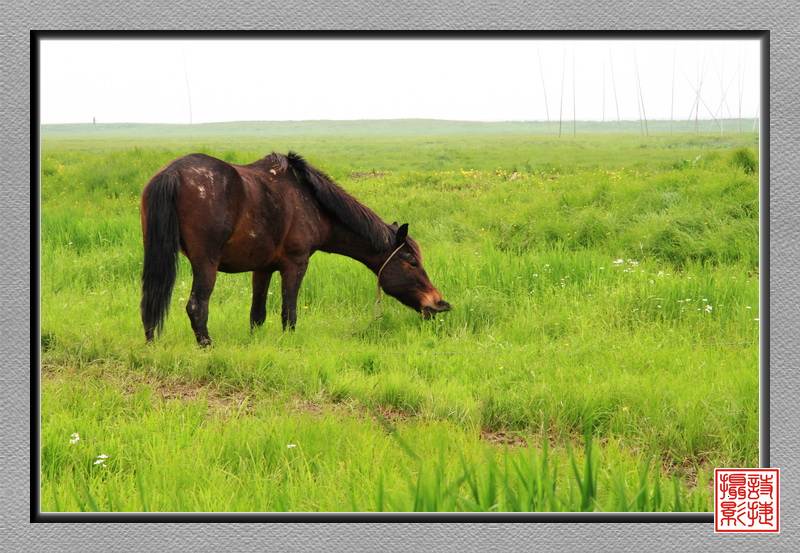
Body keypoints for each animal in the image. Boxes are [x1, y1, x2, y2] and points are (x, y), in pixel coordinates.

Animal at [140, 151, 446, 344]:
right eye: (411, 261)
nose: (439, 303)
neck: (312, 201)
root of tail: (172, 173)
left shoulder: (262, 268)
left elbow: (257, 315)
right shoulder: (296, 264)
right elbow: (289, 313)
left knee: (150, 300)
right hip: (206, 264)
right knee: (197, 306)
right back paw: (206, 345)